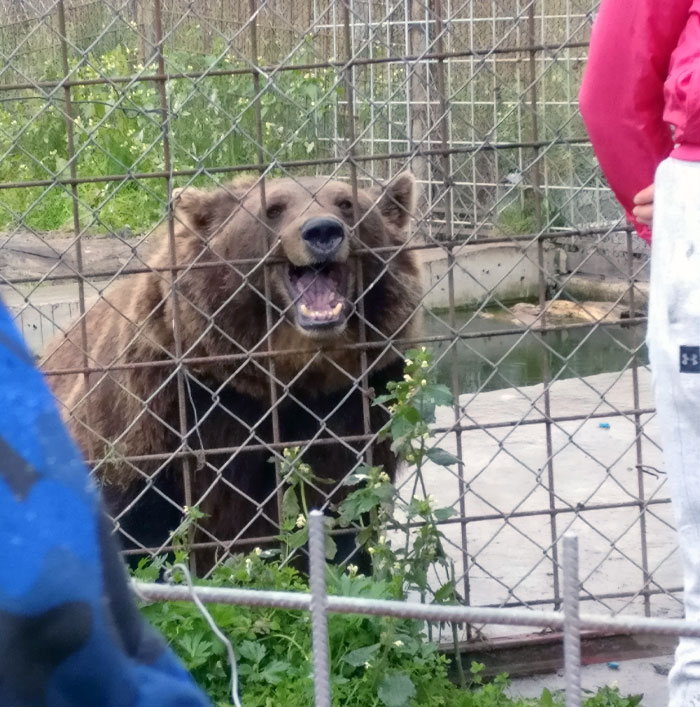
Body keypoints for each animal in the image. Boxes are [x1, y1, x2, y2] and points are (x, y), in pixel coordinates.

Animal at [42, 174, 422, 572]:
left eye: (346, 203)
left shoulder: (354, 406)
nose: (322, 230)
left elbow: (341, 509)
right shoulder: (159, 406)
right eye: (273, 208)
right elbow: (138, 519)